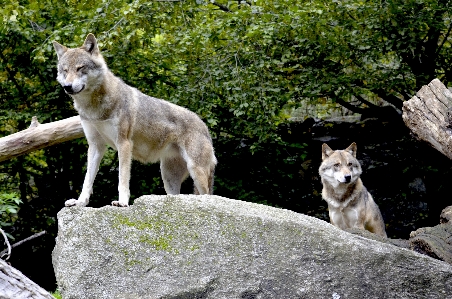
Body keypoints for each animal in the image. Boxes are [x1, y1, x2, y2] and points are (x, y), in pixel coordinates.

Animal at [52, 32, 215, 206]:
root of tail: (205, 127)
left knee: (208, 195)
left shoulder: (124, 143)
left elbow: (122, 178)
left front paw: (122, 202)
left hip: (196, 171)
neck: (94, 108)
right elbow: (87, 180)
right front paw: (80, 202)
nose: (67, 87)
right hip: (168, 178)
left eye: (80, 68)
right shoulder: (95, 146)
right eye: (65, 70)